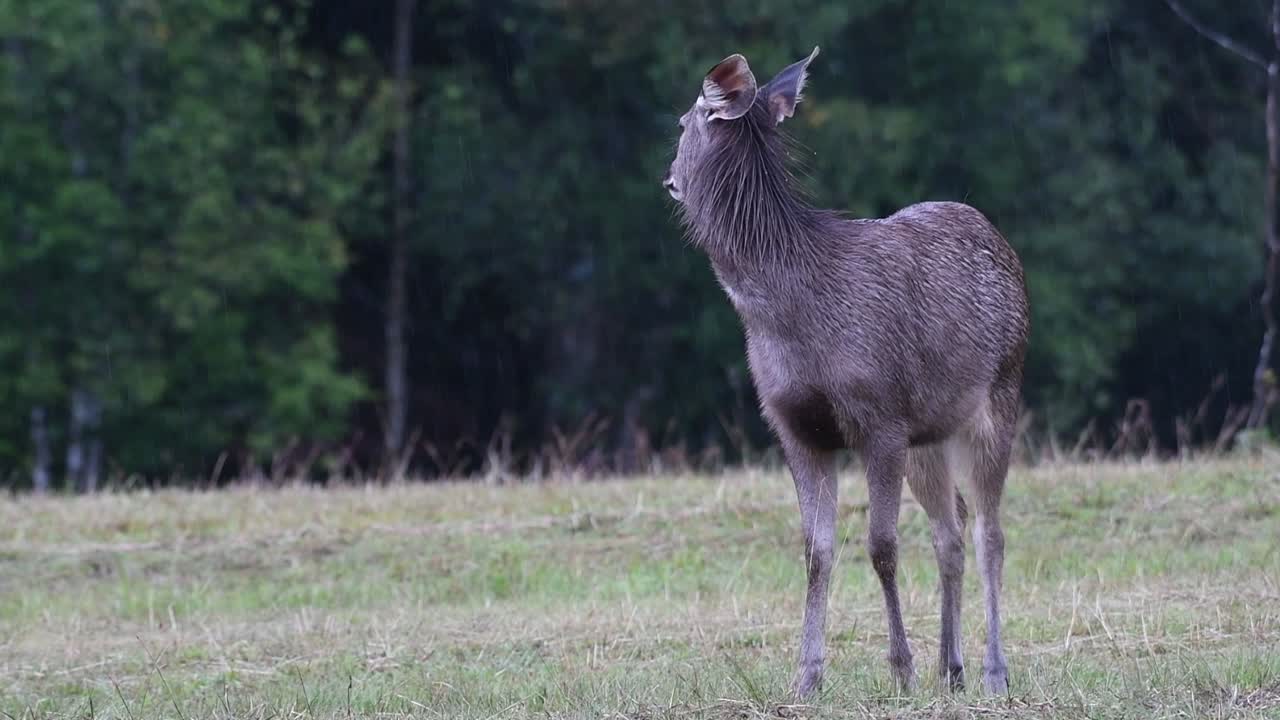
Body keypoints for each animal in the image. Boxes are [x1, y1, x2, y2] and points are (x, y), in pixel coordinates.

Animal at [663, 47, 1029, 699]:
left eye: (683, 122)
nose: (669, 179)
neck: (788, 314)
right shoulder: (794, 426)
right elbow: (817, 549)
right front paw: (806, 677)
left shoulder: (879, 416)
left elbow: (881, 546)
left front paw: (901, 668)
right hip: (927, 431)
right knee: (952, 528)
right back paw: (952, 667)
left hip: (999, 392)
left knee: (990, 532)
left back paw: (992, 671)